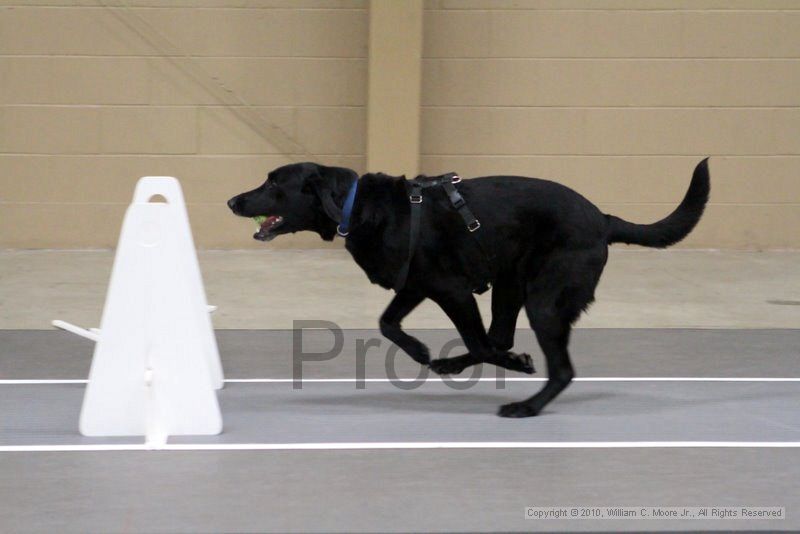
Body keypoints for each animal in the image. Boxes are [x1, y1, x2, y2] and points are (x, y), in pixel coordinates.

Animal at [228, 160, 708, 418]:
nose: (232, 200)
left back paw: (527, 404)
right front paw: (422, 351)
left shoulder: (452, 291)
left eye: (274, 183)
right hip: (511, 284)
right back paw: (455, 364)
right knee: (499, 336)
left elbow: (477, 343)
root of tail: (604, 219)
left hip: (544, 301)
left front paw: (511, 364)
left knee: (553, 365)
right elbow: (387, 323)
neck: (356, 207)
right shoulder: (418, 284)